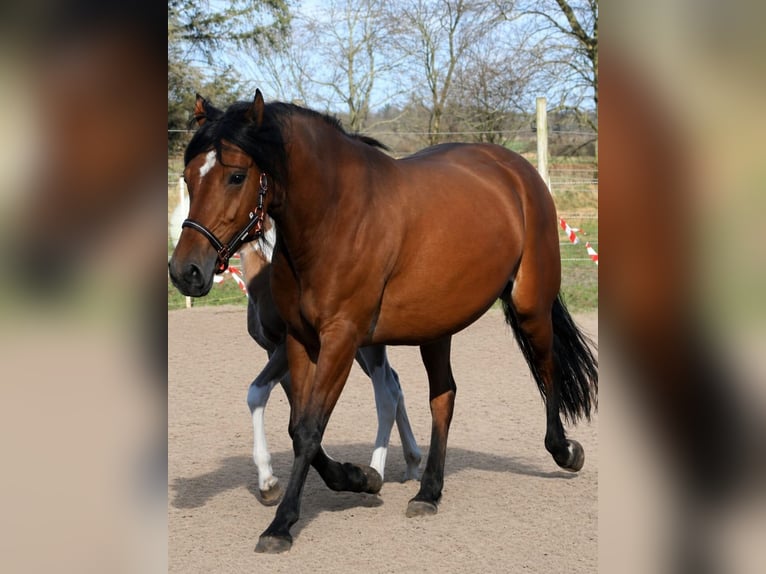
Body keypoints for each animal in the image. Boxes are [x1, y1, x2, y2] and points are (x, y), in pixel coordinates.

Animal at [236, 222, 422, 504]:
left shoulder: (284, 349)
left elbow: (258, 394)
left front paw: (269, 482)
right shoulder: (277, 352)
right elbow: (297, 413)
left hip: (366, 349)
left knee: (388, 392)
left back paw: (377, 470)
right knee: (396, 384)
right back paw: (411, 463)